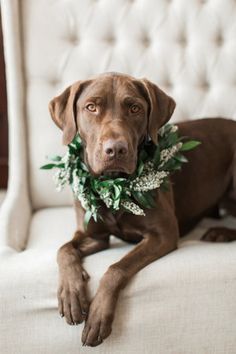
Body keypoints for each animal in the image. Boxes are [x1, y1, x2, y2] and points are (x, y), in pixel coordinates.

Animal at [48, 71, 236, 346]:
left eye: (135, 108)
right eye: (91, 107)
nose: (116, 149)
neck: (114, 185)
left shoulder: (163, 234)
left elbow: (116, 267)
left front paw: (98, 315)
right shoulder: (94, 236)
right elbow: (64, 250)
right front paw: (71, 294)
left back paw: (220, 233)